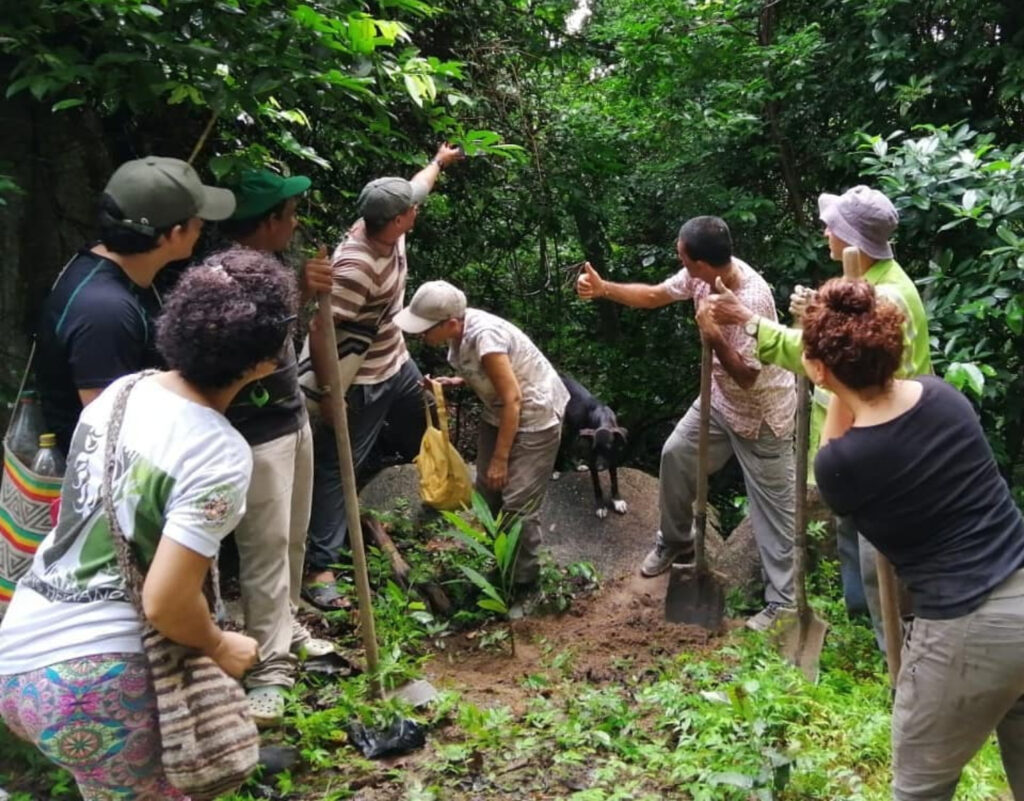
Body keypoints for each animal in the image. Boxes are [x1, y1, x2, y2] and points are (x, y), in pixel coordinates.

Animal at [557, 376, 626, 520]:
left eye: (608, 448)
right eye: (595, 450)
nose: (599, 468)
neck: (604, 419)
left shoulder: (613, 458)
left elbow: (614, 480)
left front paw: (617, 500)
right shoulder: (592, 459)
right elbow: (597, 485)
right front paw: (600, 506)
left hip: (575, 429)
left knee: (568, 445)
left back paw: (577, 466)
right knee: (561, 445)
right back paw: (556, 470)